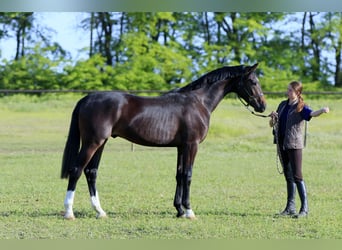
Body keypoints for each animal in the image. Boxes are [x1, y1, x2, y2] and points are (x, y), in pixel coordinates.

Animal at [61, 63, 268, 220]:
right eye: (253, 81)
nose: (262, 106)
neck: (199, 102)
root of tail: (87, 99)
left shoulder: (181, 147)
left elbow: (179, 175)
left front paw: (179, 210)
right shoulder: (192, 145)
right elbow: (188, 175)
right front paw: (189, 211)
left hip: (100, 143)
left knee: (91, 172)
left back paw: (100, 211)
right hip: (92, 142)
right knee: (76, 170)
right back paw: (69, 213)